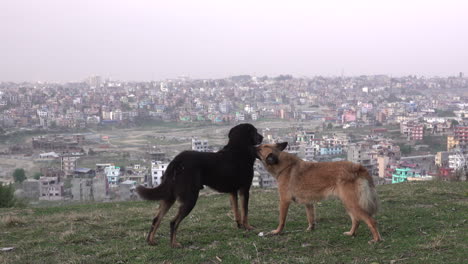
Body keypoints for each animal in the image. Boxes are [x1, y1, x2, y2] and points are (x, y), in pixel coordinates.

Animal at [137, 123, 266, 248]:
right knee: (173, 222)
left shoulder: (232, 192)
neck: (238, 148)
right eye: (255, 131)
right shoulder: (244, 190)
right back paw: (174, 244)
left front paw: (239, 225)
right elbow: (245, 211)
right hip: (190, 198)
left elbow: (236, 211)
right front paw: (248, 227)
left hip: (169, 197)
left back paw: (151, 241)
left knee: (156, 219)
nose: (262, 137)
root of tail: (176, 161)